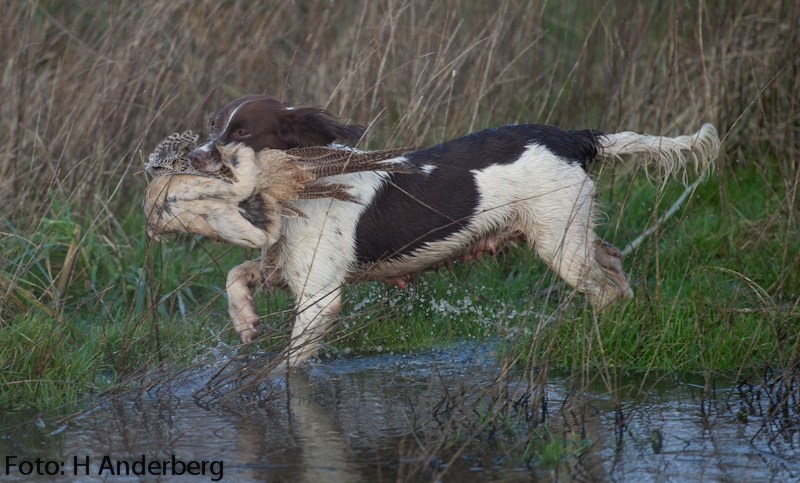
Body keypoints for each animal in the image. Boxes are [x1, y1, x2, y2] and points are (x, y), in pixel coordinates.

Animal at [159, 93, 720, 366]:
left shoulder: (319, 297)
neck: (309, 181)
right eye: (214, 126)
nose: (191, 157)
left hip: (559, 244)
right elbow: (236, 275)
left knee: (604, 291)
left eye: (241, 132)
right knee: (615, 264)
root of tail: (570, 136)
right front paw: (245, 322)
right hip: (568, 234)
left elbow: (290, 367)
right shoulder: (286, 267)